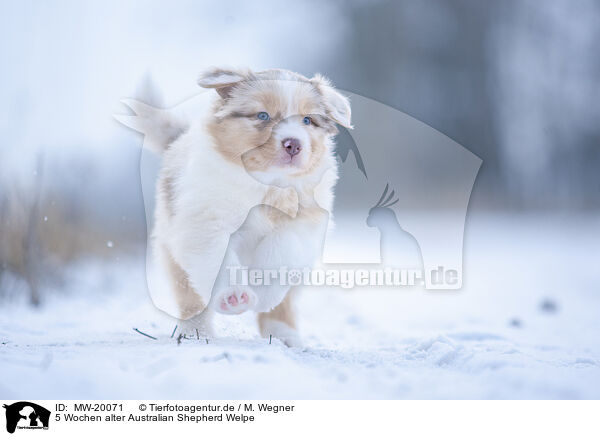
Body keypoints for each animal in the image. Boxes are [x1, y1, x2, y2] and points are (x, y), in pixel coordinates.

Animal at [119, 68, 350, 346]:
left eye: (307, 120)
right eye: (263, 115)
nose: (293, 144)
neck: (266, 183)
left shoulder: (304, 223)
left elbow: (280, 250)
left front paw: (263, 291)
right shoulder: (205, 222)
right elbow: (220, 260)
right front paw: (234, 296)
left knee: (282, 307)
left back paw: (286, 336)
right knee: (192, 302)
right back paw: (197, 333)